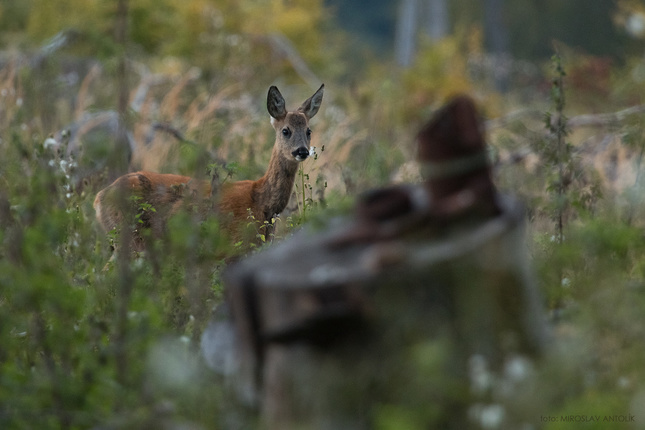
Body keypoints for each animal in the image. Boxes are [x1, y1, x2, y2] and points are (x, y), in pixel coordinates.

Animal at [93, 84, 324, 252]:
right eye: (285, 130)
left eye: (309, 130)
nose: (302, 151)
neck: (263, 202)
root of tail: (99, 198)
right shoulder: (232, 246)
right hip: (130, 237)